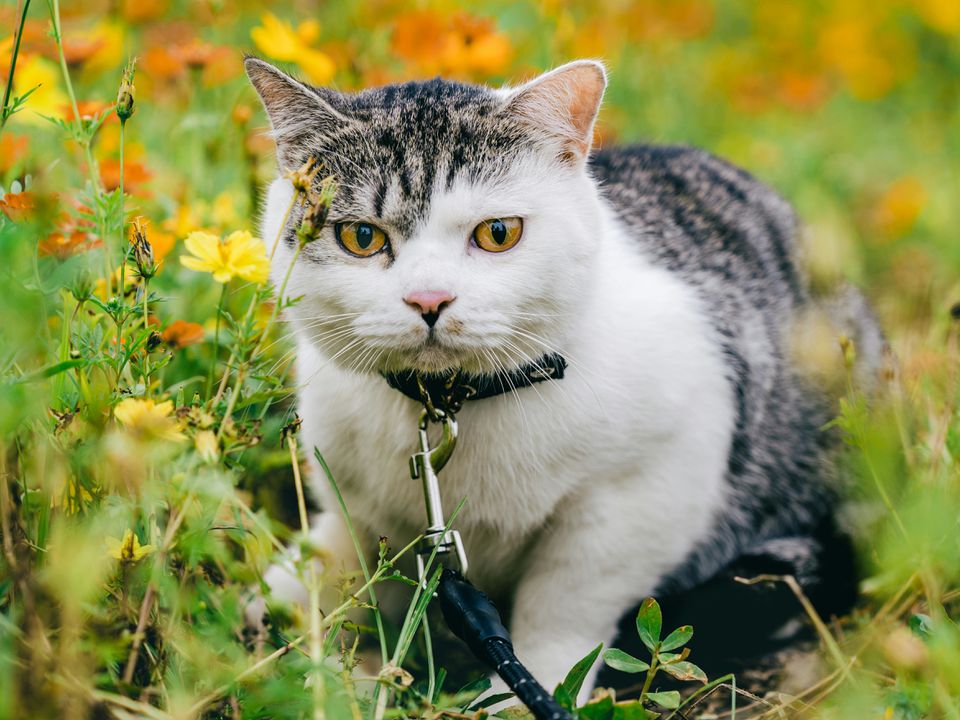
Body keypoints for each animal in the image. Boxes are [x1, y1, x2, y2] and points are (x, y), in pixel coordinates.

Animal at [244, 57, 880, 704]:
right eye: (361, 237)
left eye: (498, 233)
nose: (429, 299)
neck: (451, 402)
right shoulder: (362, 497)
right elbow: (362, 558)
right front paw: (305, 614)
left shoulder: (647, 492)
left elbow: (565, 605)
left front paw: (525, 691)